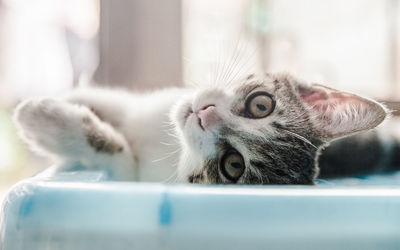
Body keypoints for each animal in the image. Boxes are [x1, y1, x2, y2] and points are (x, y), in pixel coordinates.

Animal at [12, 72, 390, 184]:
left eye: (233, 165)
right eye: (261, 105)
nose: (205, 115)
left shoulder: (134, 175)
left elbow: (116, 154)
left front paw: (44, 120)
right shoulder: (154, 106)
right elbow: (119, 103)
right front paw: (69, 98)